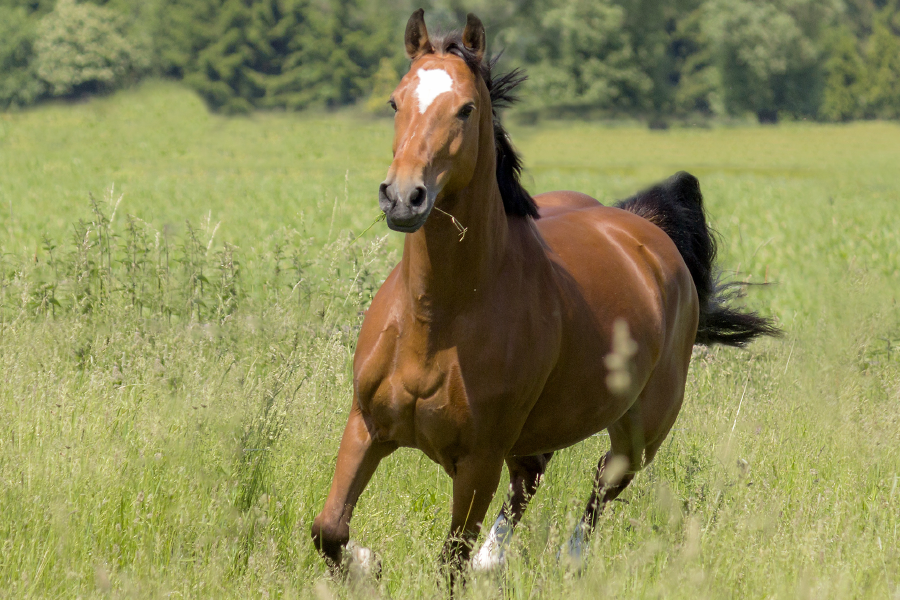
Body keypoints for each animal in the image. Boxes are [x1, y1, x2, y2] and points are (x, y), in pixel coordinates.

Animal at [312, 9, 780, 580]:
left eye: (466, 108)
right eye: (396, 101)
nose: (403, 197)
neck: (438, 318)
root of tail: (645, 230)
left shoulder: (479, 461)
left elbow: (450, 560)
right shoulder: (366, 427)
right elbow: (329, 530)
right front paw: (366, 562)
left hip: (644, 426)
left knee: (605, 480)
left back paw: (566, 559)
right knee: (531, 478)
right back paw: (495, 559)